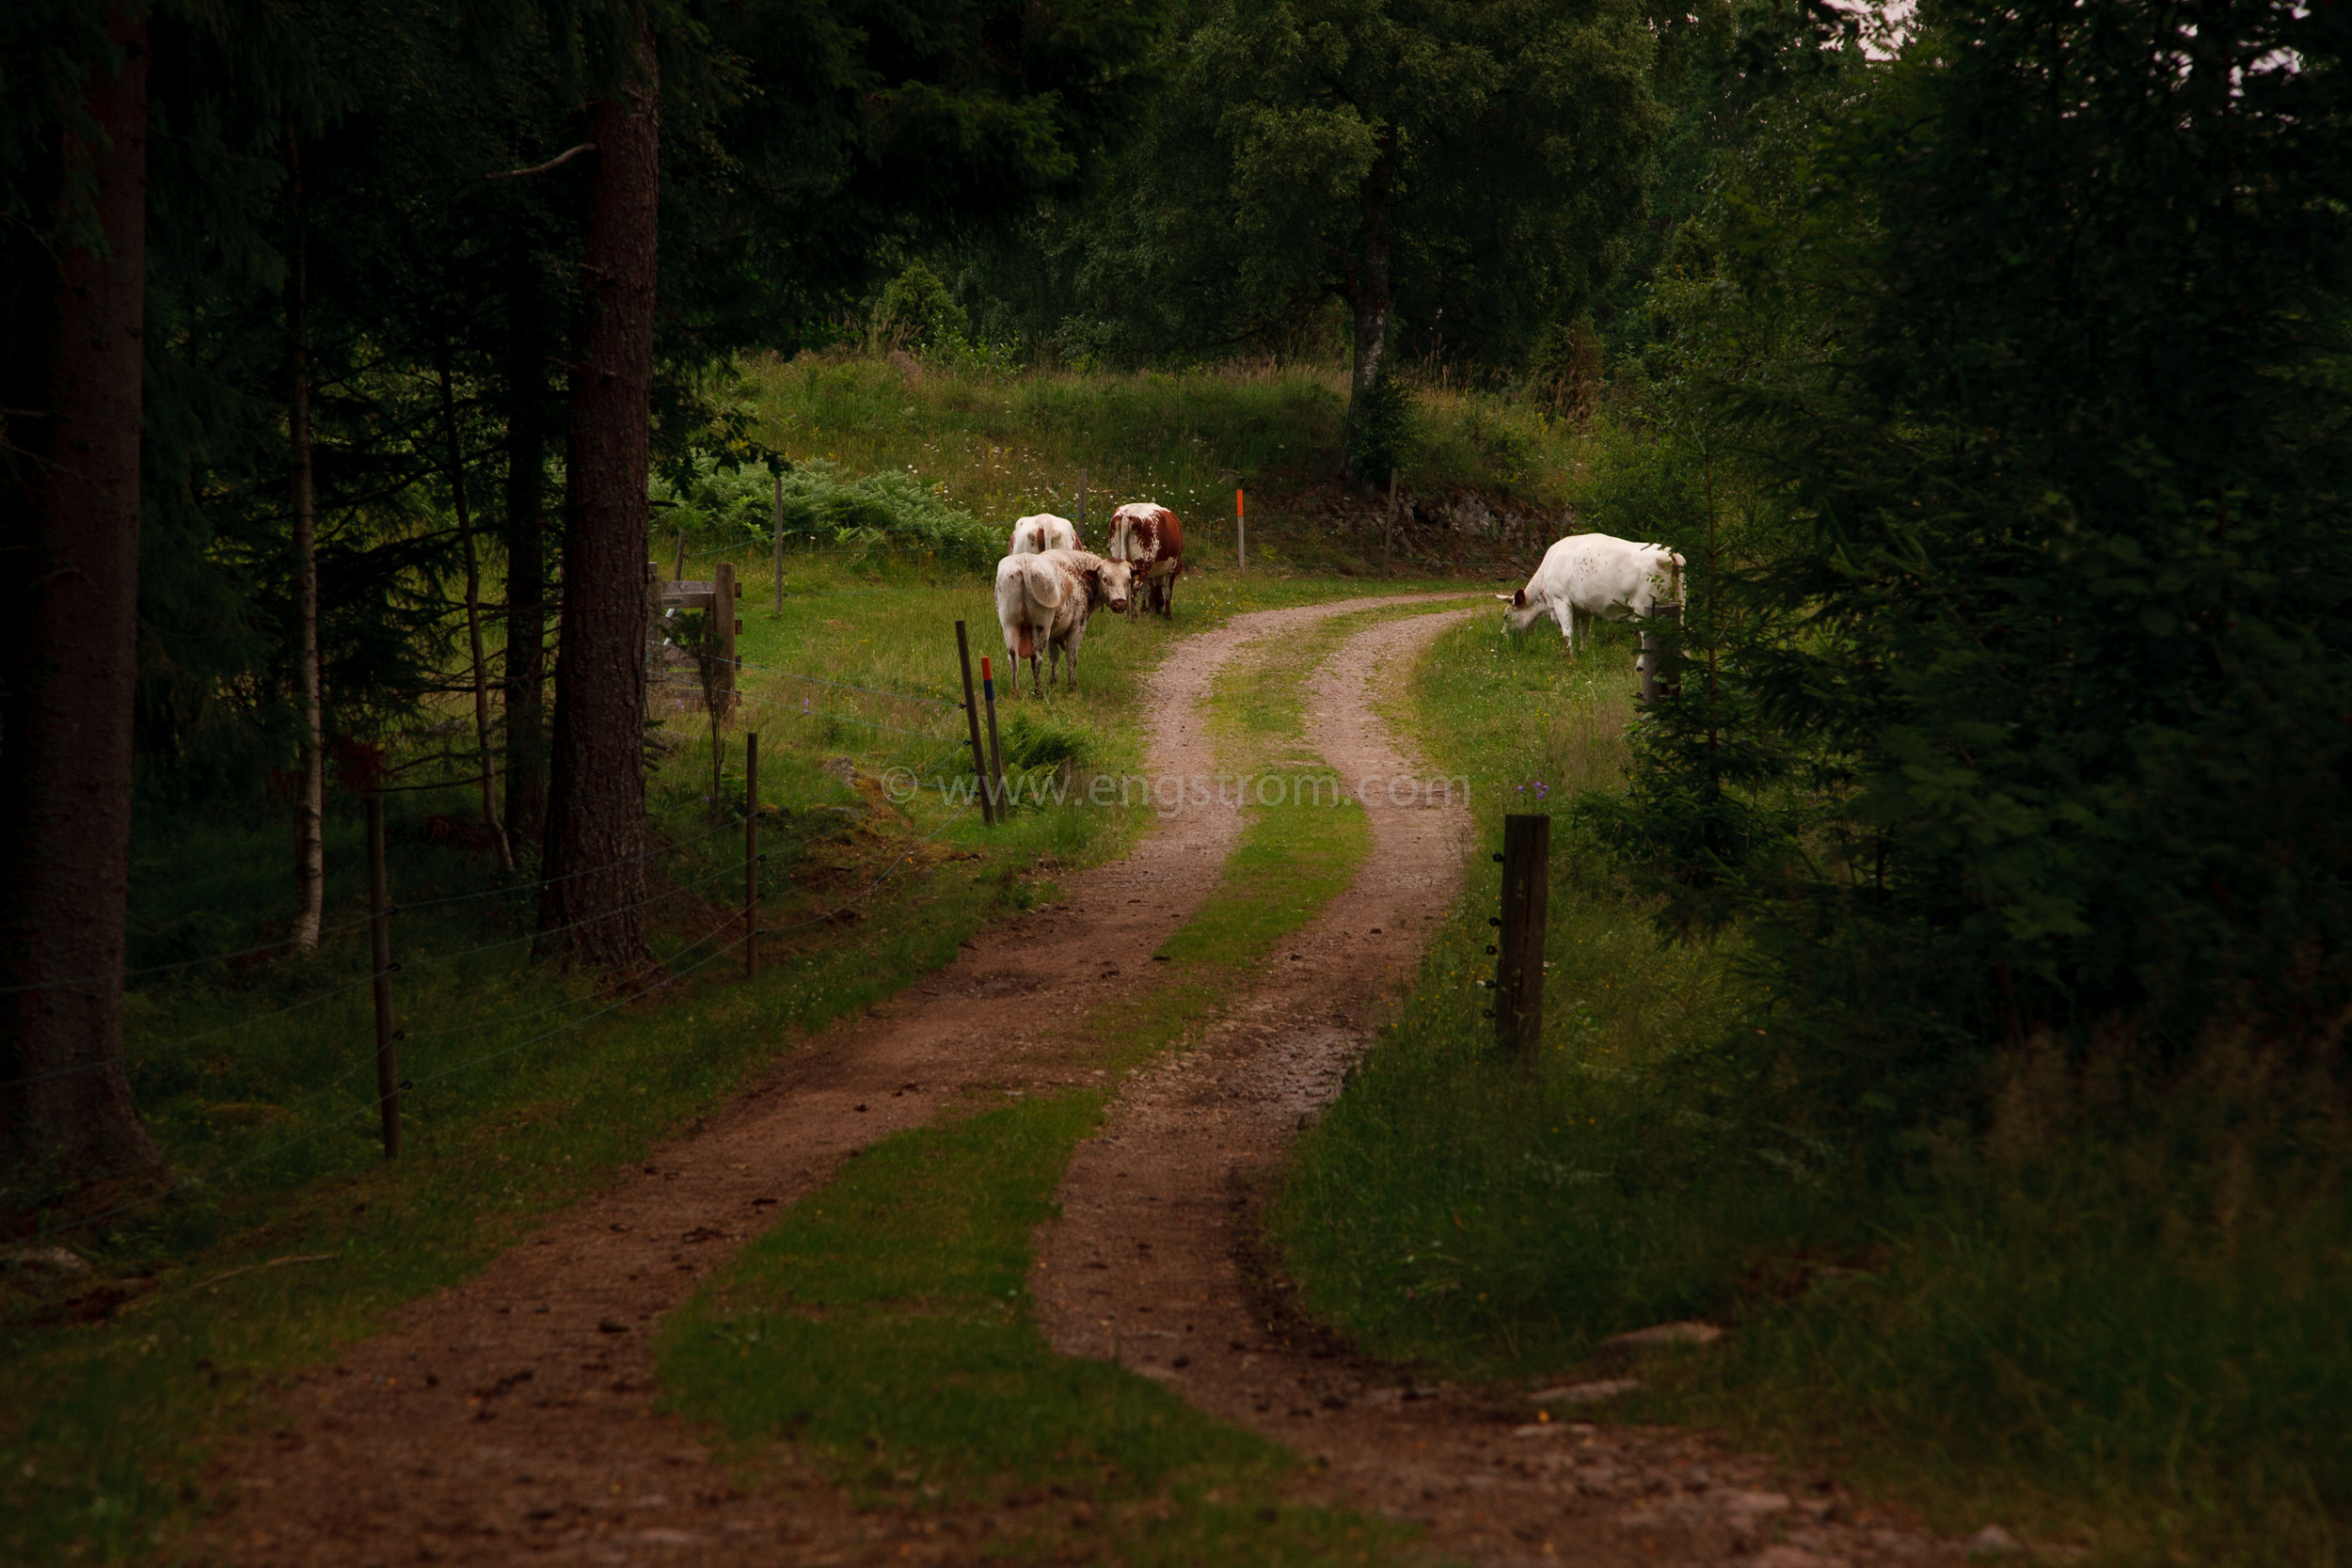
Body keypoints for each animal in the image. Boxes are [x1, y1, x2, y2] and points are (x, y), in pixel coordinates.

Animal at [993, 552, 1138, 700]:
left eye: (1128, 580)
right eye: (1105, 579)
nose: (1120, 603)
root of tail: (1024, 559)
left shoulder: (1053, 632)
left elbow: (1054, 656)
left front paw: (1053, 681)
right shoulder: (1078, 626)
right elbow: (1071, 657)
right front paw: (1072, 686)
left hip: (1009, 624)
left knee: (1013, 656)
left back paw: (1015, 691)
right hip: (1041, 625)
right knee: (1036, 657)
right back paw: (1039, 691)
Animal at [1496, 533, 1684, 657]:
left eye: (1506, 616)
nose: (1503, 636)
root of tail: (1668, 553)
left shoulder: (1561, 601)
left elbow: (1568, 632)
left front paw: (1570, 657)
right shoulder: (1585, 608)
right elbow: (1583, 632)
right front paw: (1582, 652)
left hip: (1644, 609)